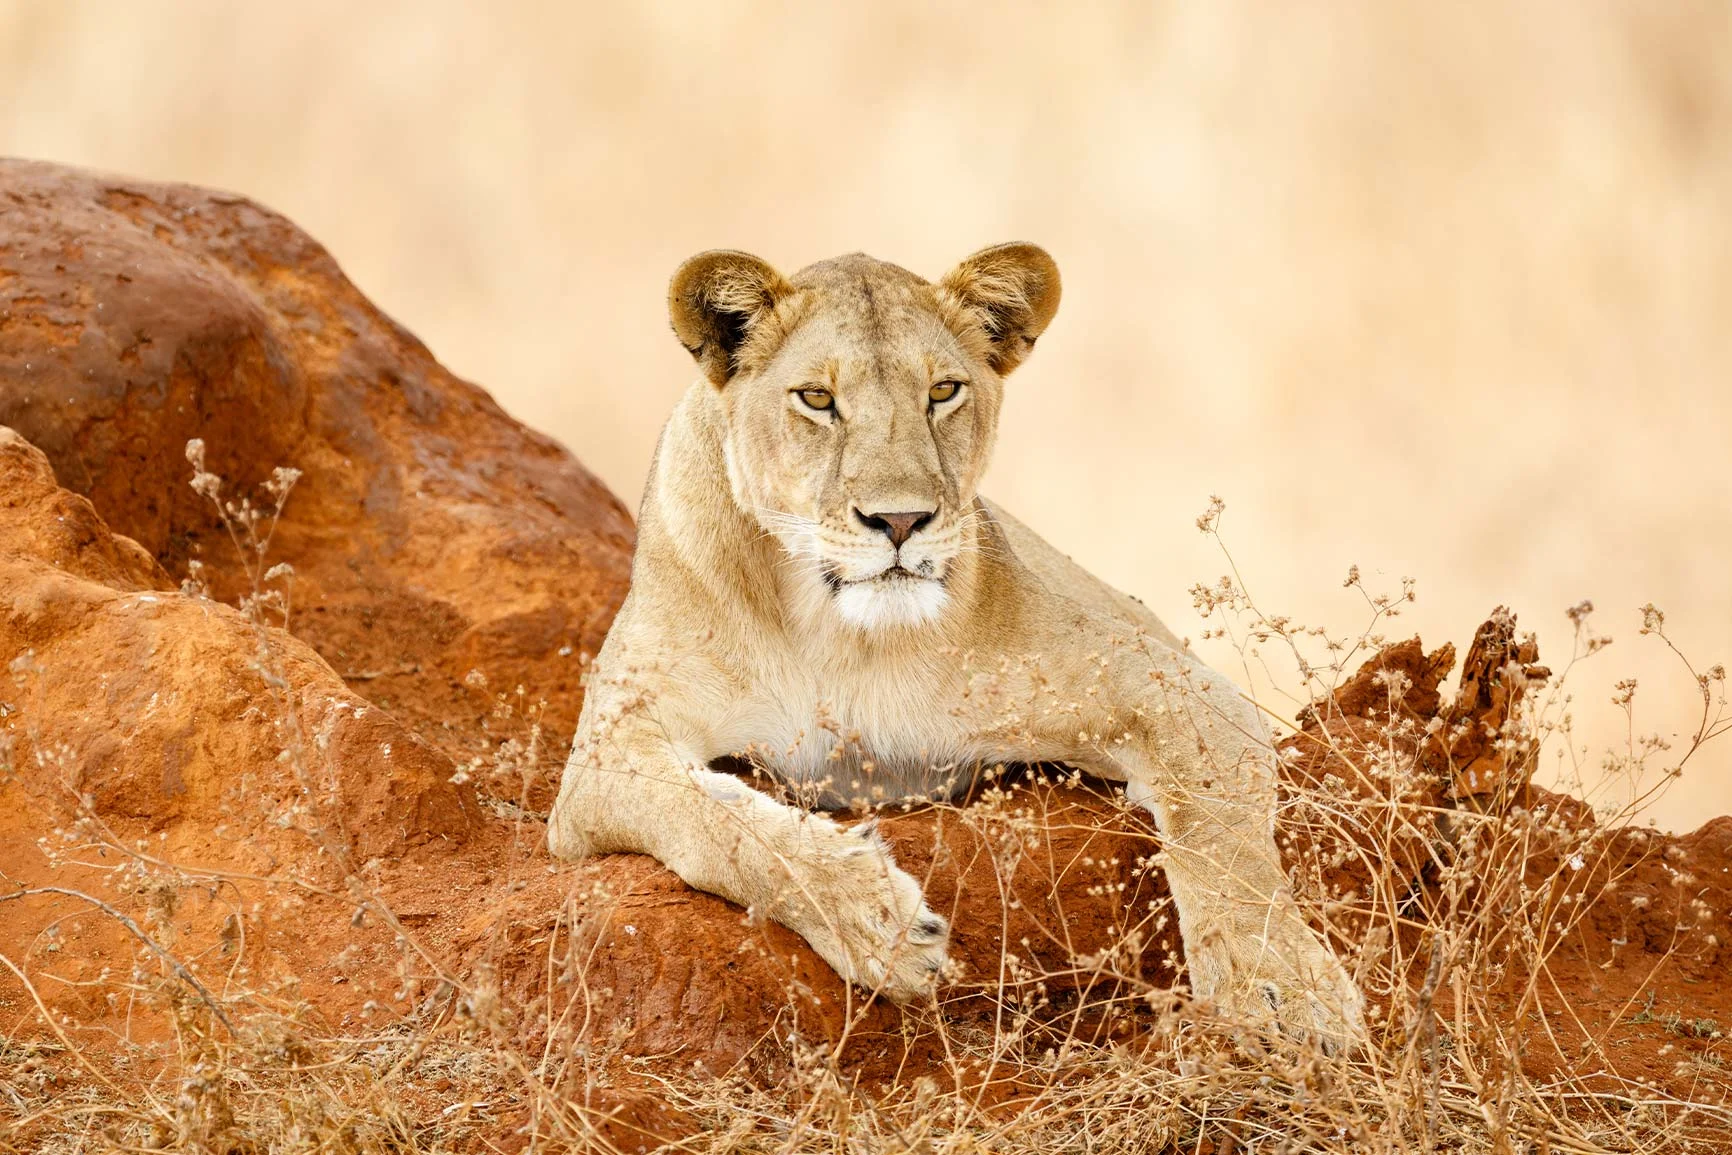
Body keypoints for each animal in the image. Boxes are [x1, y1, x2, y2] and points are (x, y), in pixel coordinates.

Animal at [547, 244, 1366, 1049]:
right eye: (817, 399)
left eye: (943, 391)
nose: (901, 520)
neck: (834, 631)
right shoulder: (608, 752)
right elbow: (723, 824)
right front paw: (876, 922)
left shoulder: (1174, 686)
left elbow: (1223, 838)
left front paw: (1283, 986)